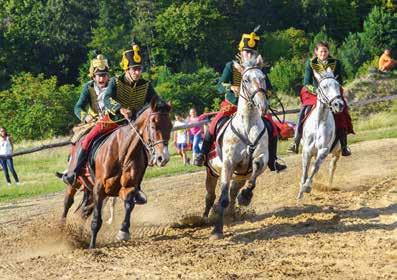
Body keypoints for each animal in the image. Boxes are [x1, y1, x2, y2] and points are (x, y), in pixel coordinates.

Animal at [61, 96, 172, 247]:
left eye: (170, 127)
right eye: (154, 126)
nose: (163, 158)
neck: (122, 152)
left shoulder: (127, 188)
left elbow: (129, 203)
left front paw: (123, 232)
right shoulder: (99, 188)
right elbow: (96, 220)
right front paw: (92, 246)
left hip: (89, 189)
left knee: (83, 212)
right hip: (75, 182)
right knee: (68, 203)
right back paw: (61, 229)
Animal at [203, 55, 268, 238]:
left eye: (263, 78)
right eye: (246, 80)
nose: (262, 105)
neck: (247, 126)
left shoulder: (261, 158)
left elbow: (257, 166)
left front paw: (245, 196)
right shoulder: (228, 164)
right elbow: (223, 198)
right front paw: (217, 230)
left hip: (239, 177)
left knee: (232, 193)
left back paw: (232, 214)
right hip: (212, 172)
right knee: (210, 196)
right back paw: (204, 218)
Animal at [296, 67, 344, 199]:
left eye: (338, 85)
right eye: (324, 86)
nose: (338, 104)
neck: (319, 122)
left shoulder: (324, 150)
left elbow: (315, 167)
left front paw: (307, 187)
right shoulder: (306, 150)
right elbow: (305, 170)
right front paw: (300, 192)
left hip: (337, 152)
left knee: (332, 167)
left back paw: (329, 185)